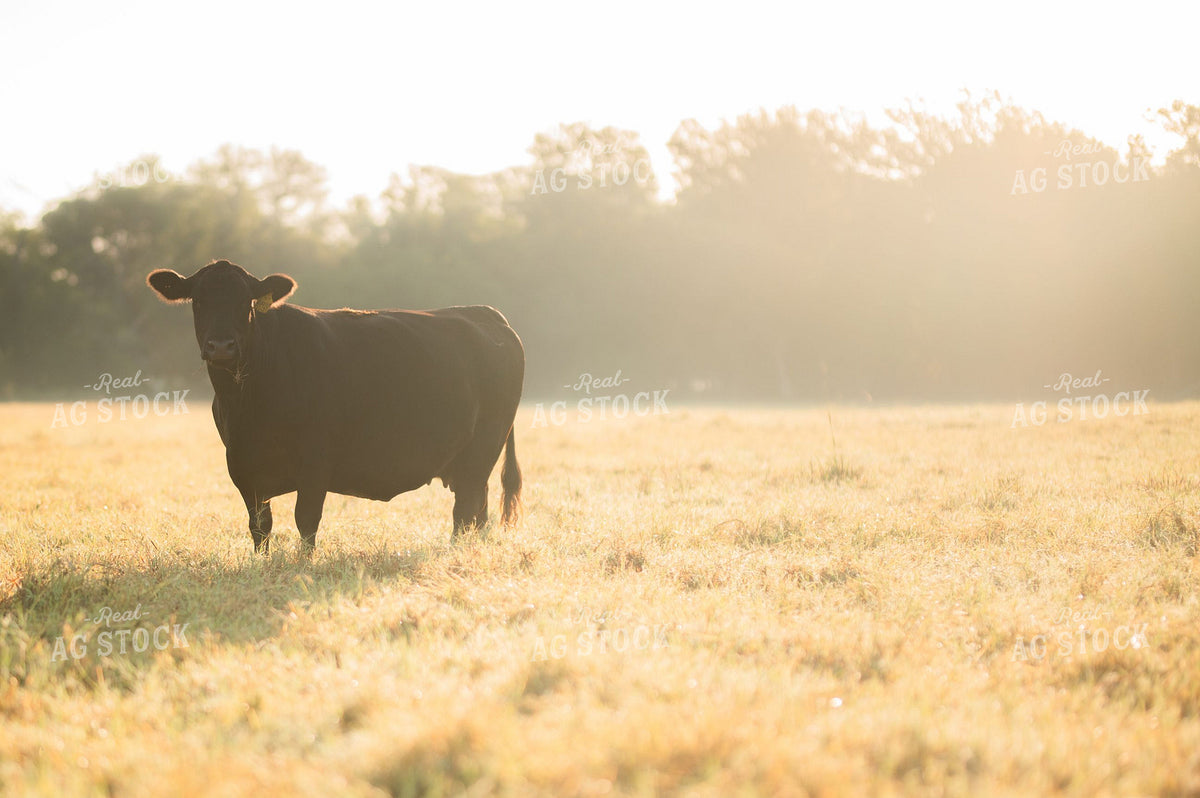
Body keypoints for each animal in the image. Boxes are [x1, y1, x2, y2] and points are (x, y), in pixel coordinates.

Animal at [146, 259, 524, 555]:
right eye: (198, 300)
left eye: (246, 302)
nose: (222, 346)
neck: (247, 403)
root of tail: (485, 313)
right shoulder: (242, 467)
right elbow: (260, 526)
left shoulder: (316, 463)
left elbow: (305, 521)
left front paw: (303, 566)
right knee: (478, 511)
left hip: (481, 452)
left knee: (465, 512)